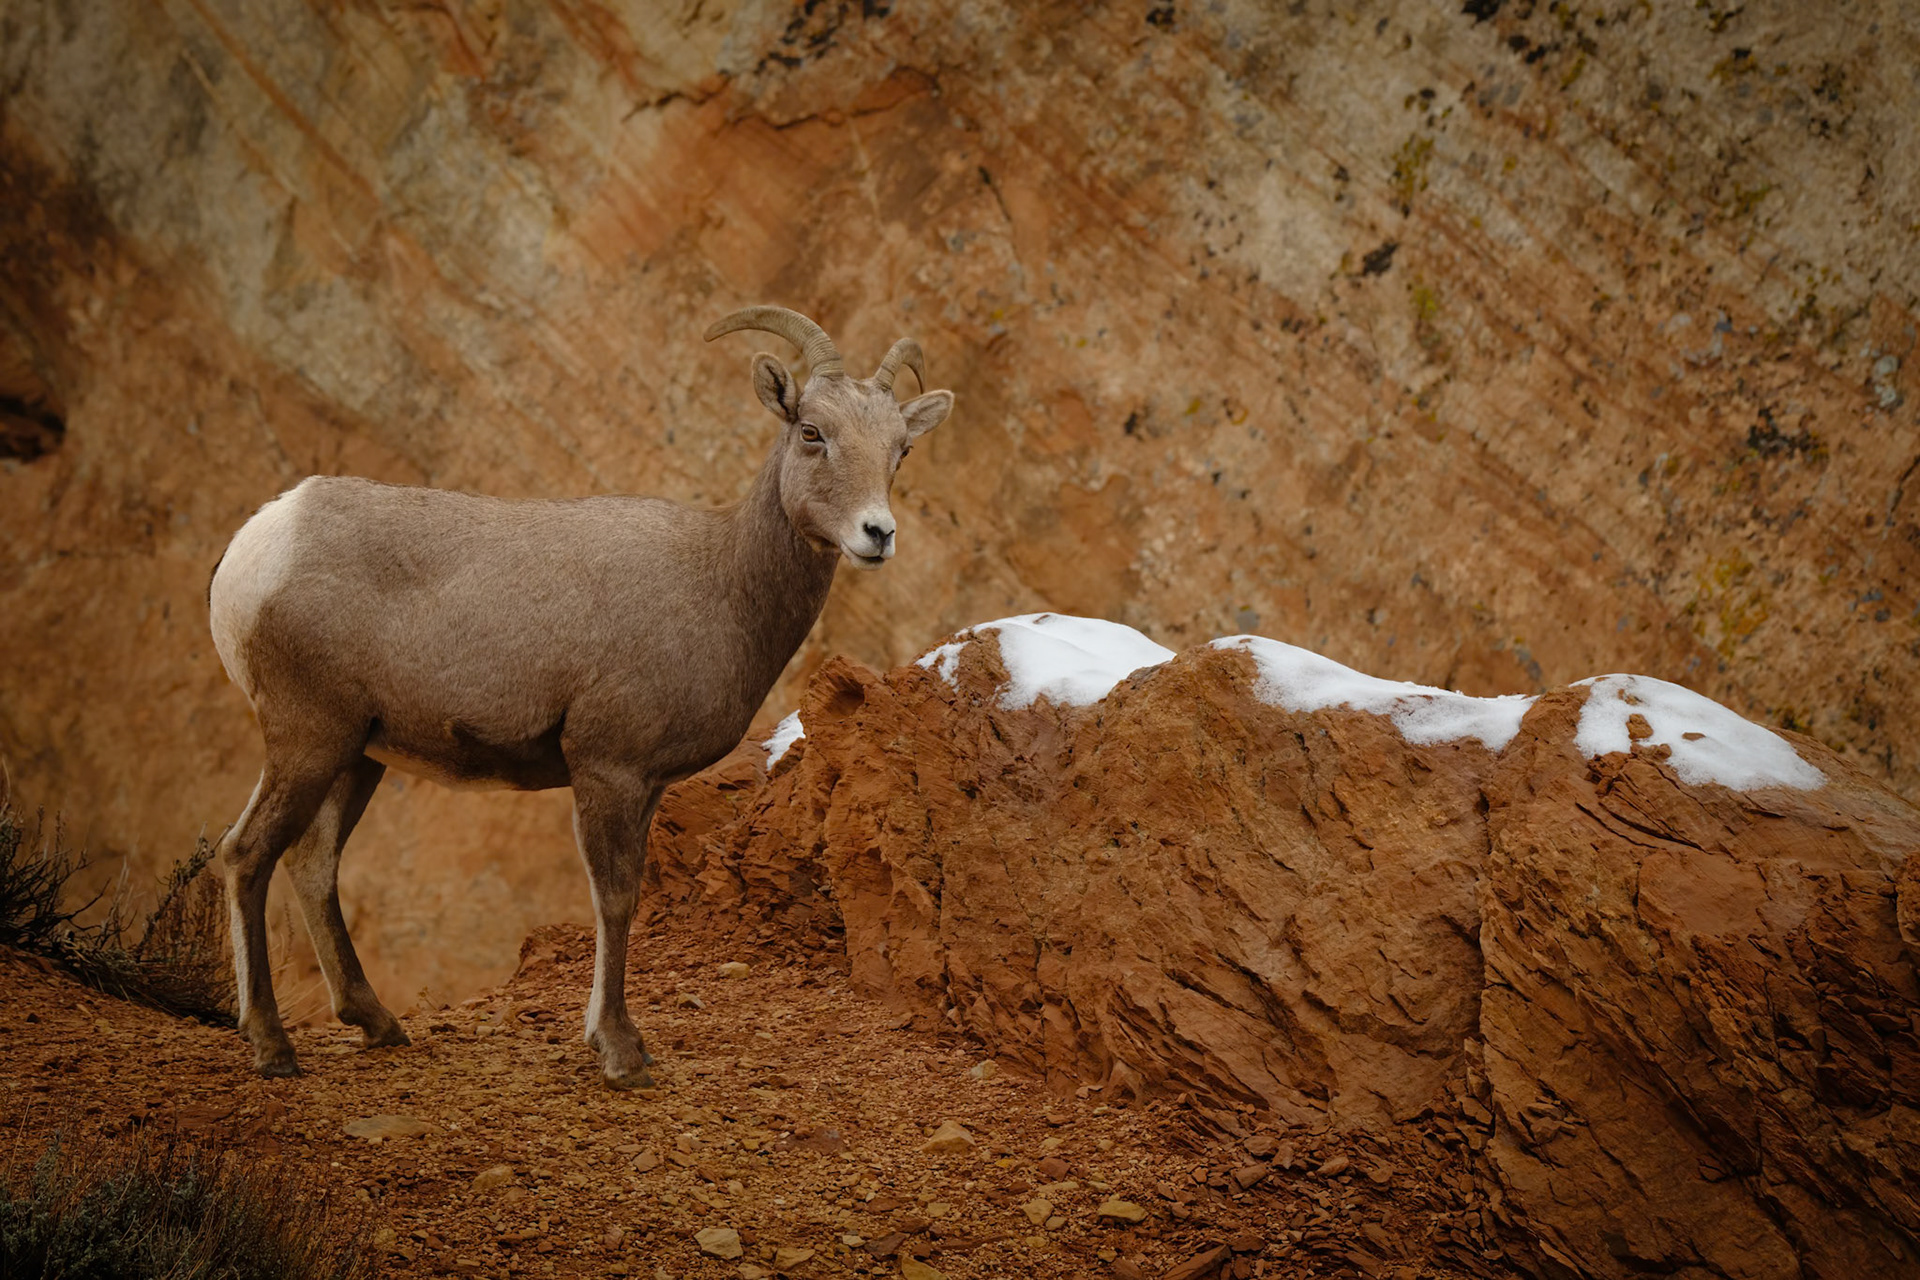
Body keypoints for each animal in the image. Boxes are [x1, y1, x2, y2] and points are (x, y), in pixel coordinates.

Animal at [205, 306, 953, 1087]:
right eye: (812, 431)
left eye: (900, 449)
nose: (877, 534)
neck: (718, 583)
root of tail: (261, 541)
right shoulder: (608, 770)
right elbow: (615, 899)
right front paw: (622, 1054)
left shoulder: (646, 784)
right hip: (308, 738)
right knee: (245, 852)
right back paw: (271, 1046)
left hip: (358, 754)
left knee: (312, 861)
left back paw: (378, 1024)